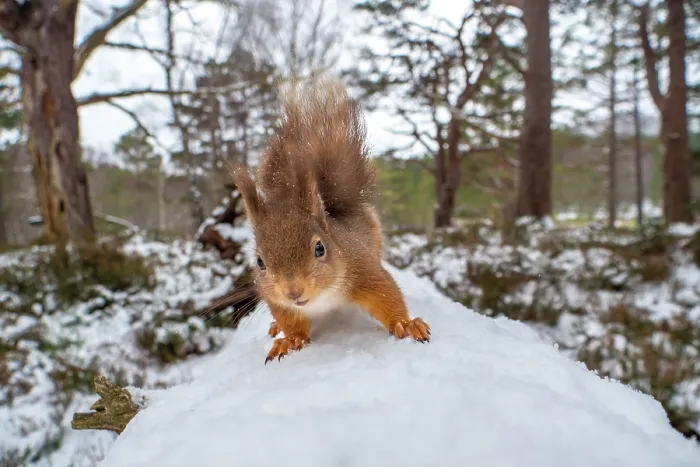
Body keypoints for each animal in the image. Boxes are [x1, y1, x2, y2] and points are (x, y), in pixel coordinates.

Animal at [231, 75, 430, 364]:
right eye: (259, 262)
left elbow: (387, 294)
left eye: (320, 248)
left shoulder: (363, 268)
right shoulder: (277, 300)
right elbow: (290, 321)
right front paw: (290, 340)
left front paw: (406, 324)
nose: (294, 292)